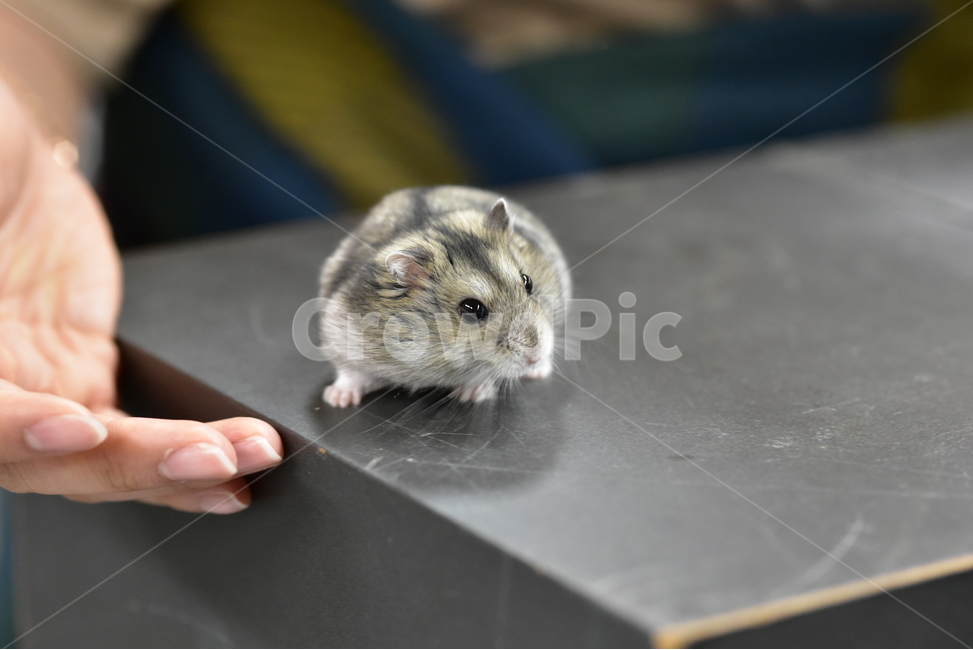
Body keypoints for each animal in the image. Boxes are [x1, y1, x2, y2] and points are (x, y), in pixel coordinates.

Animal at [318, 186, 571, 407]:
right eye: (471, 308)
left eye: (527, 281)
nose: (535, 355)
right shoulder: (342, 337)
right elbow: (351, 372)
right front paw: (335, 400)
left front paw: (470, 394)